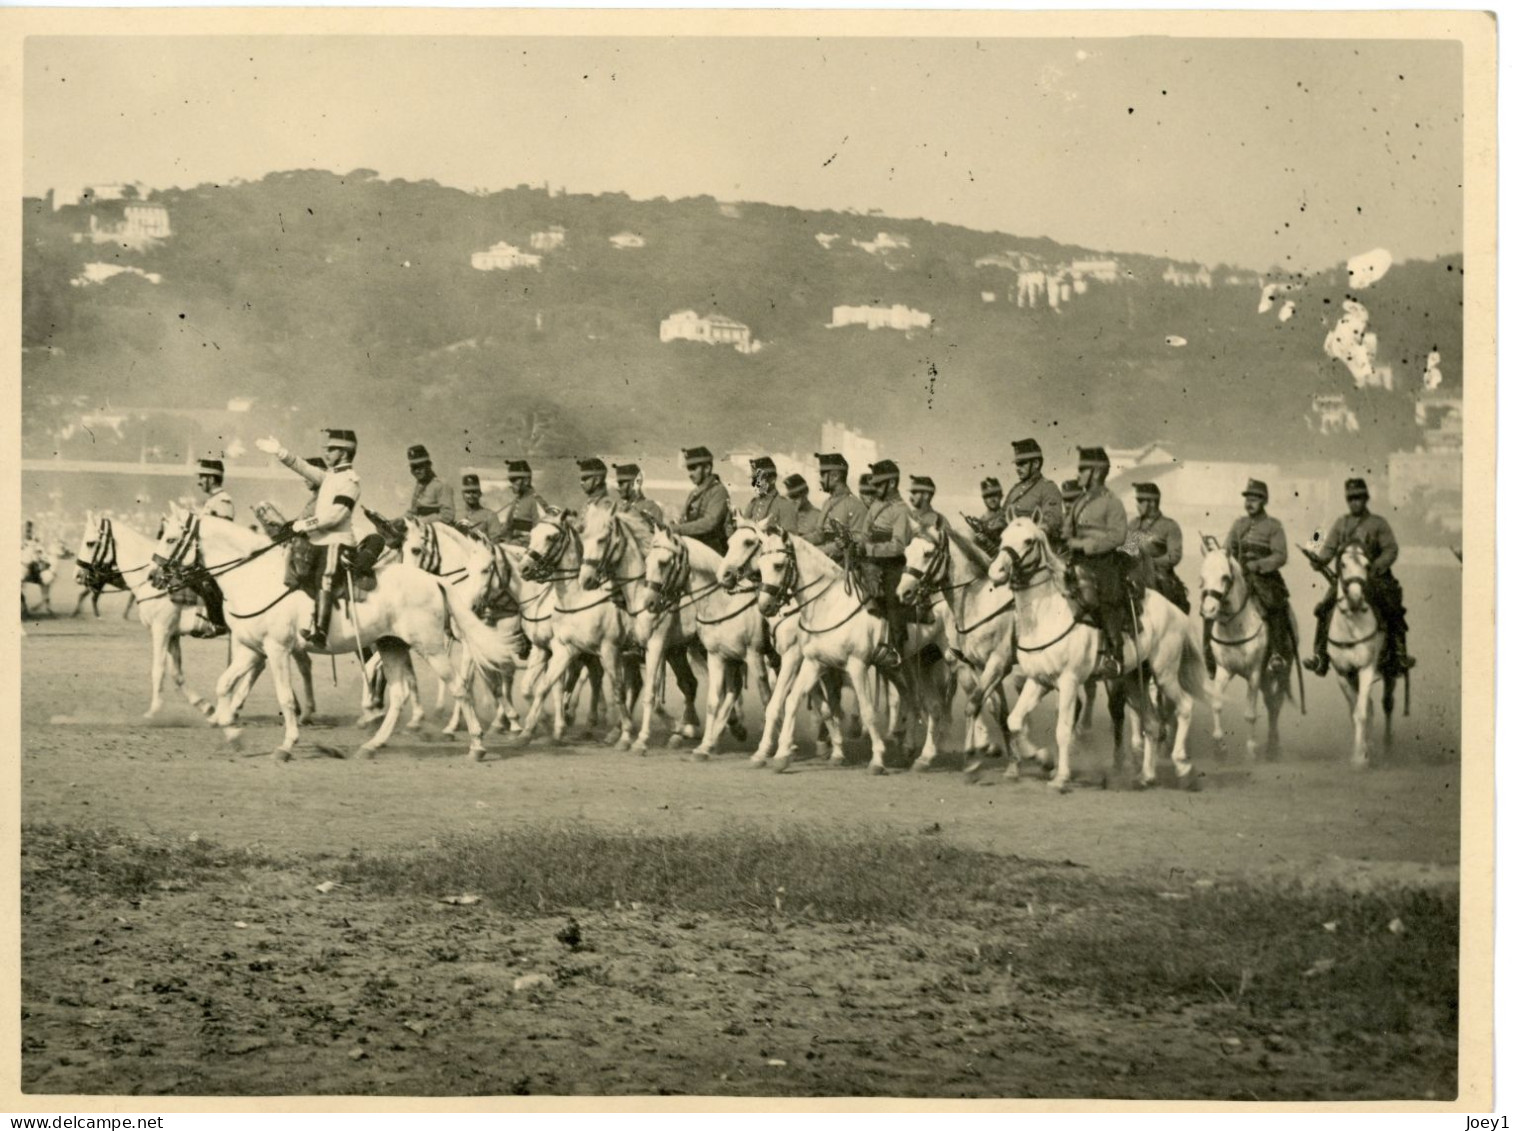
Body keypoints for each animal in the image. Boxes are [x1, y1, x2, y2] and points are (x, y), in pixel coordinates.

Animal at [145, 504, 483, 760]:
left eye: (171, 538)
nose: (154, 577)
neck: (255, 578)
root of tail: (434, 579)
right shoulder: (252, 650)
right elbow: (224, 685)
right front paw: (233, 734)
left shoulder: (277, 649)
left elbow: (284, 698)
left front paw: (286, 745)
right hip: (392, 645)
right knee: (400, 694)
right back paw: (373, 745)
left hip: (429, 647)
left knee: (459, 686)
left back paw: (476, 745)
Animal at [984, 516, 1209, 790]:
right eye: (1003, 537)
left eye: (1028, 540)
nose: (997, 571)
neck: (1049, 614)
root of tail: (1176, 612)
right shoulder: (1038, 681)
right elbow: (1014, 721)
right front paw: (1041, 759)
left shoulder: (1069, 682)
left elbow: (1063, 729)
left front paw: (1060, 777)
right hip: (1133, 680)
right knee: (1152, 724)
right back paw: (1146, 776)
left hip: (1164, 673)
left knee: (1184, 706)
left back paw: (1183, 767)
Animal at [1197, 538, 1295, 760]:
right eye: (1202, 578)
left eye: (1225, 577)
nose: (1208, 611)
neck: (1235, 626)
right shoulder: (1224, 670)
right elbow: (1217, 703)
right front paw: (1220, 747)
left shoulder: (1254, 673)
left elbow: (1250, 714)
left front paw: (1251, 750)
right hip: (1266, 678)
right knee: (1271, 702)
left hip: (1280, 671)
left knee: (1276, 704)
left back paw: (1274, 747)